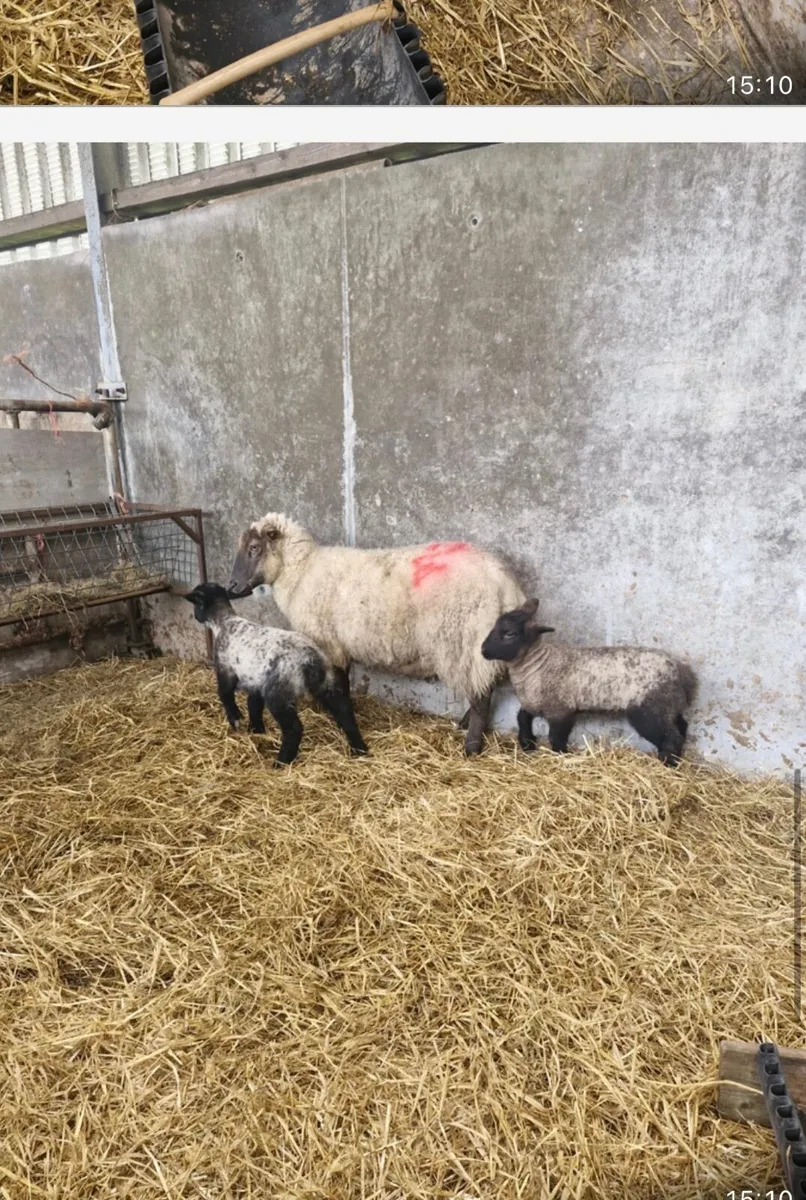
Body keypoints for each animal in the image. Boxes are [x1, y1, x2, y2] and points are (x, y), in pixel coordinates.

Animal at [183, 582, 368, 766]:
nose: (195, 617)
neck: (225, 621)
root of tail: (310, 659)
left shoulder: (225, 668)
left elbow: (226, 696)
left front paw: (236, 721)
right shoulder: (256, 680)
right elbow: (254, 705)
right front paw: (256, 730)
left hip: (279, 693)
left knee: (294, 728)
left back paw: (281, 762)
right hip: (326, 683)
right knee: (344, 712)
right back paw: (360, 750)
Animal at [227, 514, 526, 754]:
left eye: (254, 548)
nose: (232, 587)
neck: (300, 573)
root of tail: (506, 584)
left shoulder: (329, 644)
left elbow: (337, 685)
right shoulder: (339, 646)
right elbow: (342, 682)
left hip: (464, 642)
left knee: (481, 697)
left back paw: (471, 746)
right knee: (487, 687)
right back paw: (465, 726)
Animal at [480, 598, 697, 766]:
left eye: (510, 634)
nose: (483, 650)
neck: (539, 666)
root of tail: (679, 672)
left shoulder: (561, 710)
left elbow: (556, 737)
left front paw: (561, 756)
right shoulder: (534, 702)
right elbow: (522, 717)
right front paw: (527, 743)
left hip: (649, 710)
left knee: (672, 736)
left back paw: (669, 762)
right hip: (668, 706)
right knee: (681, 726)